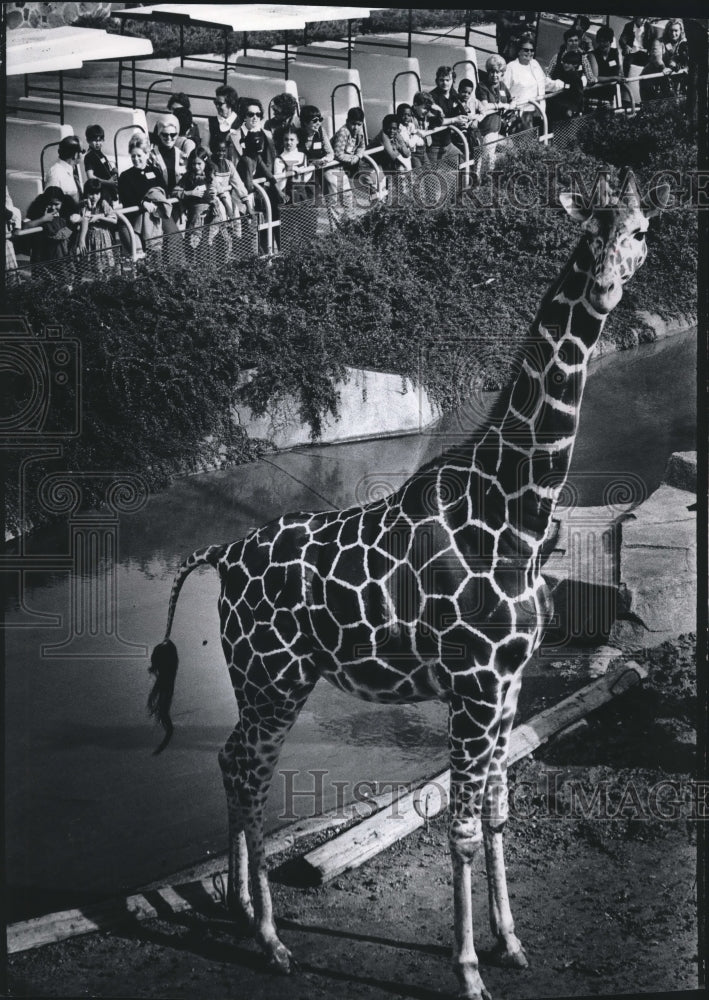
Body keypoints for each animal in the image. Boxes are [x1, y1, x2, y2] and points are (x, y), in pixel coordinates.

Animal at [148, 167, 667, 1000]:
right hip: (271, 679)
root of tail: (221, 555)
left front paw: (509, 944)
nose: (606, 281)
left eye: (641, 229)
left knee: (232, 765)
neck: (518, 507)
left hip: (270, 680)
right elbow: (458, 827)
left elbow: (496, 814)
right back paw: (269, 940)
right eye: (589, 228)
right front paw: (466, 969)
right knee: (248, 773)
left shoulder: (506, 685)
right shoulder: (474, 685)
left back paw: (241, 911)